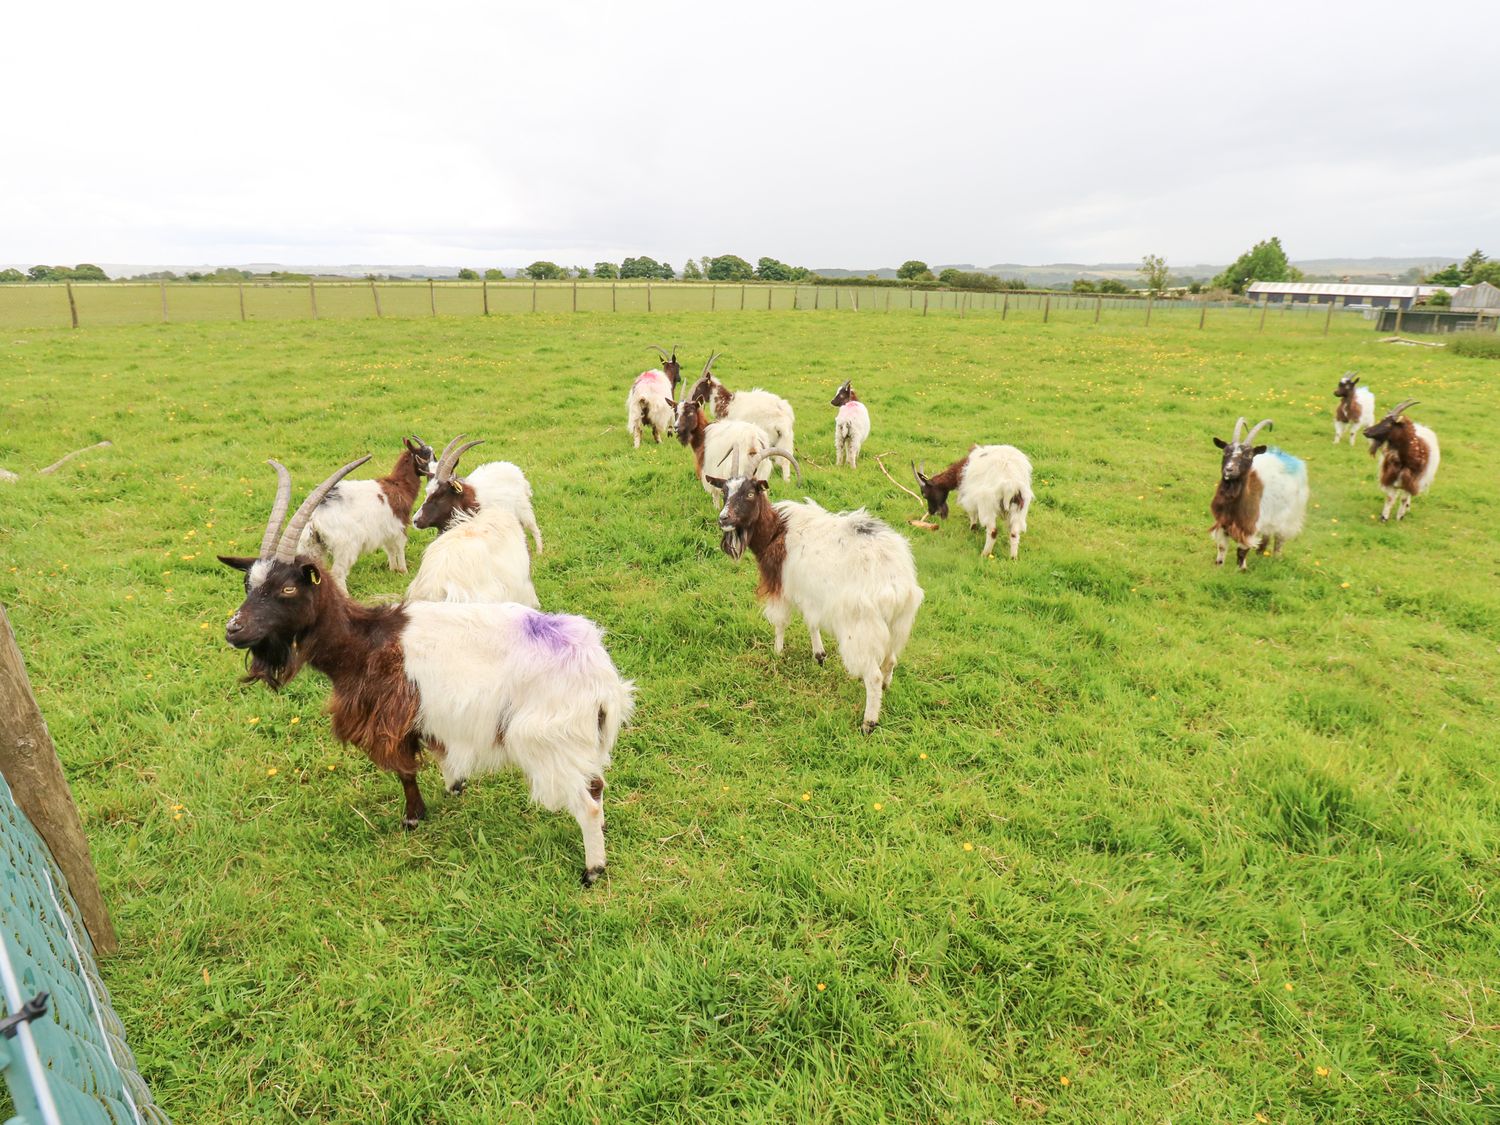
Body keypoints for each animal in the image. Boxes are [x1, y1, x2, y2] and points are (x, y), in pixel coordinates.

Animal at [292, 435, 435, 594]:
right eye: (426, 454)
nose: (434, 473)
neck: (399, 486)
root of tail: (315, 520)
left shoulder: (385, 529)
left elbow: (389, 549)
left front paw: (393, 569)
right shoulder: (399, 525)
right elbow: (399, 547)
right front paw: (404, 571)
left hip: (311, 547)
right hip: (345, 546)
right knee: (338, 573)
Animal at [414, 435, 543, 555]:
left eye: (440, 496)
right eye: (427, 493)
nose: (415, 520)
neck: (467, 499)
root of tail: (515, 469)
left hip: (524, 510)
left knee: (534, 528)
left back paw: (539, 552)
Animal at [705, 450, 924, 741]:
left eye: (750, 493)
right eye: (725, 491)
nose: (723, 518)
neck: (777, 531)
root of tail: (896, 582)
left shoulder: (781, 586)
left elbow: (780, 623)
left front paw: (778, 652)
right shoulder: (810, 593)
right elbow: (812, 622)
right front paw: (819, 655)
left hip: (860, 626)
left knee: (873, 675)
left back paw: (869, 722)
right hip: (898, 624)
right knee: (890, 660)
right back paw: (886, 689)